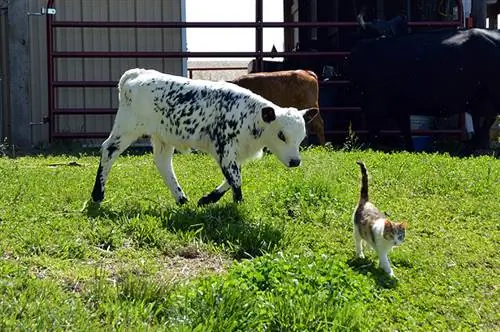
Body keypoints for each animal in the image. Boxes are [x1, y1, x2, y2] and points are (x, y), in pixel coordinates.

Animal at [91, 68, 318, 205]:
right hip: (127, 128)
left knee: (163, 163)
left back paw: (181, 198)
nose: (295, 161)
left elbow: (231, 177)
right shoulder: (224, 148)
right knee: (108, 151)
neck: (249, 116)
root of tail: (138, 74)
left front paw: (209, 199)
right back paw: (97, 195)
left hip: (163, 136)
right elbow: (235, 178)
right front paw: (238, 204)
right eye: (281, 135)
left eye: (301, 137)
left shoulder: (235, 154)